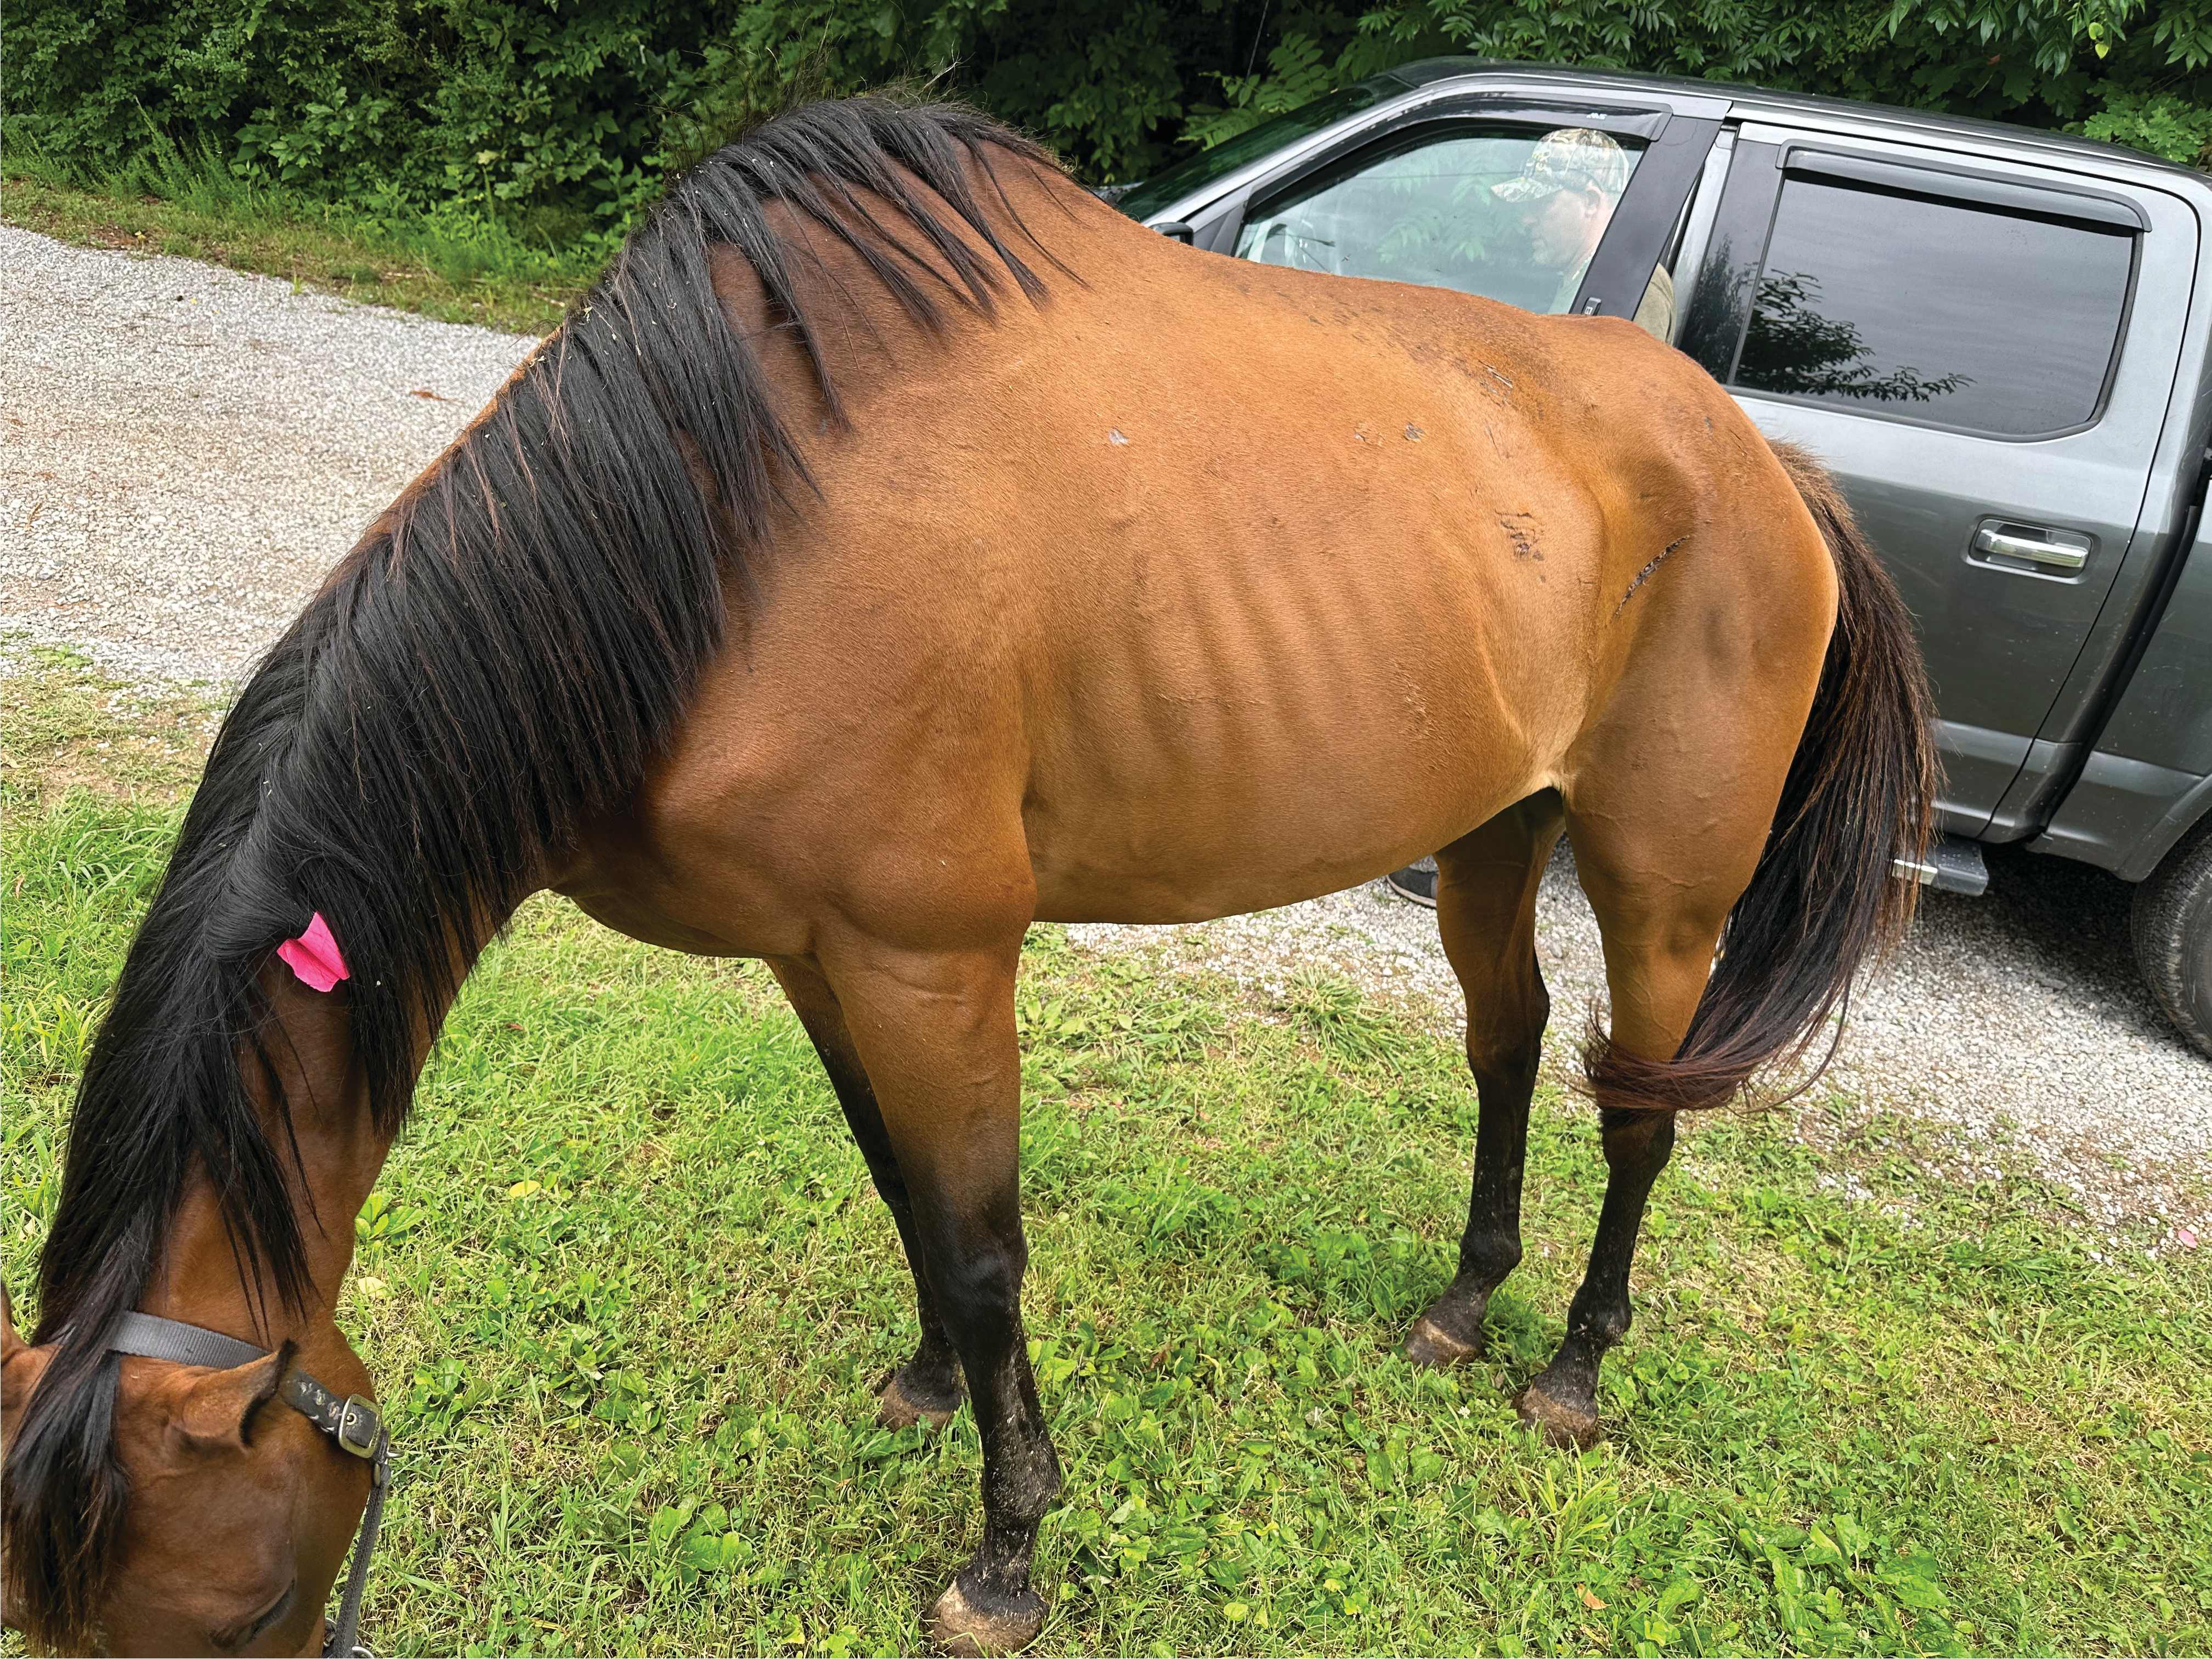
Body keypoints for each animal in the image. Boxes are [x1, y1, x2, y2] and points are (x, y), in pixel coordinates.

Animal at [0, 94, 1932, 1656]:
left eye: (251, 1601)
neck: (717, 542)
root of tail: (1766, 459)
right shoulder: (816, 955)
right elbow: (901, 1190)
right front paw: (930, 1381)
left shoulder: (935, 957)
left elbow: (991, 1245)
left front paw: (1007, 1552)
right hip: (1489, 829)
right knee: (1509, 1043)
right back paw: (1465, 1303)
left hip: (1661, 884)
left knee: (1639, 1109)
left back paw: (1574, 1365)